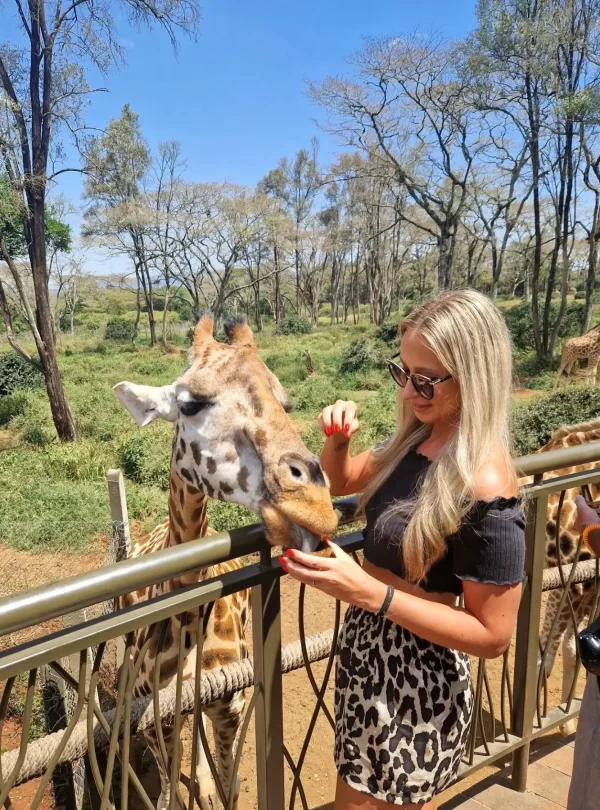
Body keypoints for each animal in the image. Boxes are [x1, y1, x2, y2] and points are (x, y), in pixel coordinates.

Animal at [113, 314, 338, 810]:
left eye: (286, 403)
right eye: (190, 404)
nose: (315, 505)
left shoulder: (230, 707)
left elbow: (230, 784)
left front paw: (211, 787)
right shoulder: (154, 722)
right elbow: (169, 792)